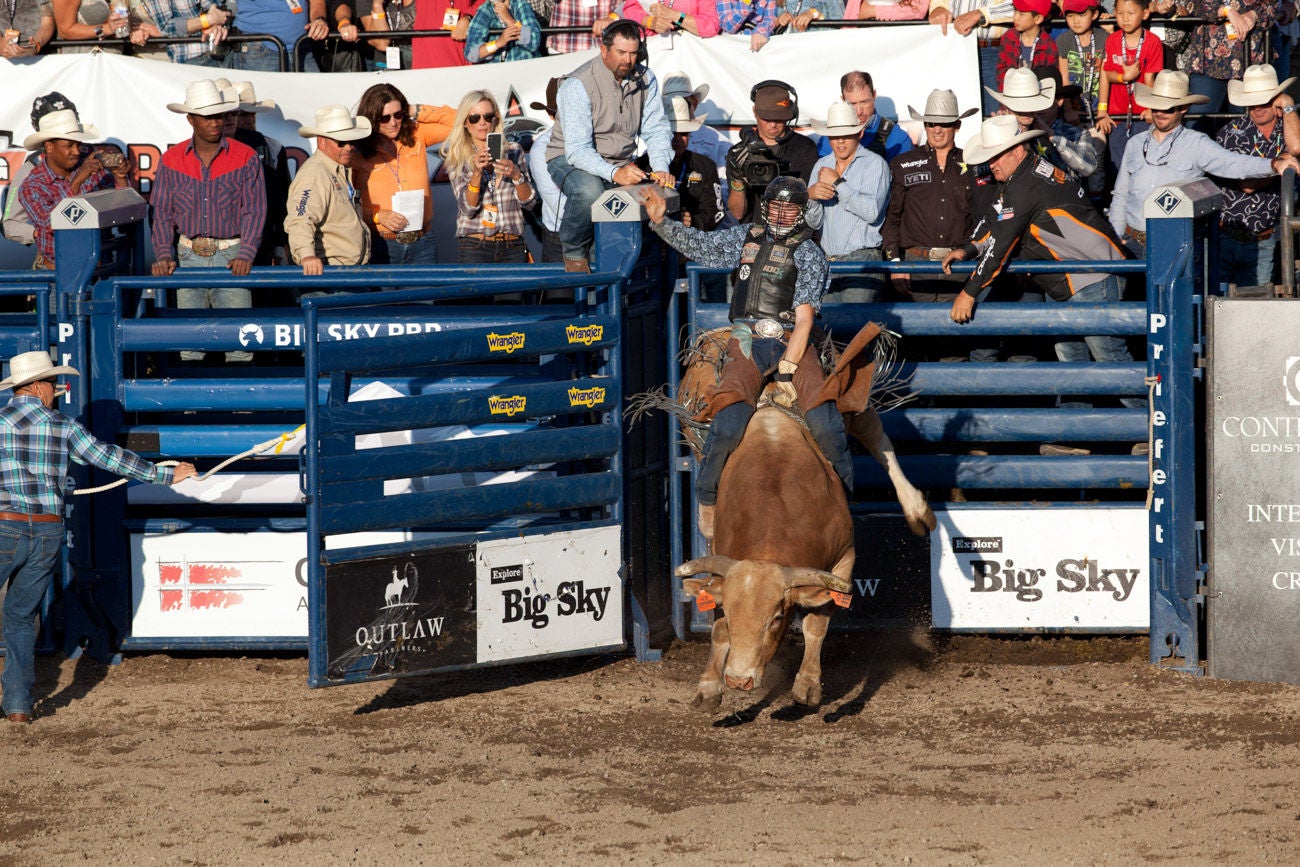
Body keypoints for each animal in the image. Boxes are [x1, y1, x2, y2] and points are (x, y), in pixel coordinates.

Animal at [631, 322, 930, 707]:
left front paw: (807, 685)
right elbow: (718, 628)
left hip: (843, 396)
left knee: (876, 436)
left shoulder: (843, 560)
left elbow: (816, 623)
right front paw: (709, 686)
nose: (739, 679)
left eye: (775, 619)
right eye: (732, 611)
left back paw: (918, 511)